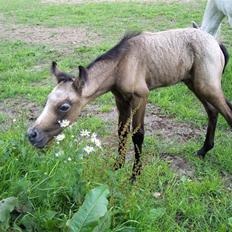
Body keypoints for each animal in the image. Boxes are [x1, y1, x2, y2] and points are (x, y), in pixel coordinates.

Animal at [28, 28, 231, 181]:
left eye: (64, 106)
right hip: (194, 84)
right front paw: (117, 166)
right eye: (47, 100)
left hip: (207, 86)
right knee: (212, 112)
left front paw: (135, 176)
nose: (32, 135)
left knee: (227, 113)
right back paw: (203, 150)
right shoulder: (121, 100)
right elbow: (122, 132)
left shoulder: (140, 97)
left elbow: (138, 135)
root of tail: (216, 42)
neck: (121, 64)